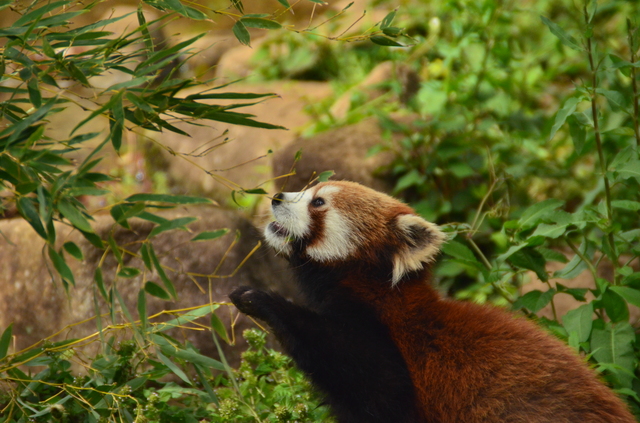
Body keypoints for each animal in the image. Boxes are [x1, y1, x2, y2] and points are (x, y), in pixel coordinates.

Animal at [230, 181, 636, 422]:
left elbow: (363, 374)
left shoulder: (390, 360)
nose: (276, 197)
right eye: (307, 189)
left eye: (317, 202)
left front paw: (259, 300)